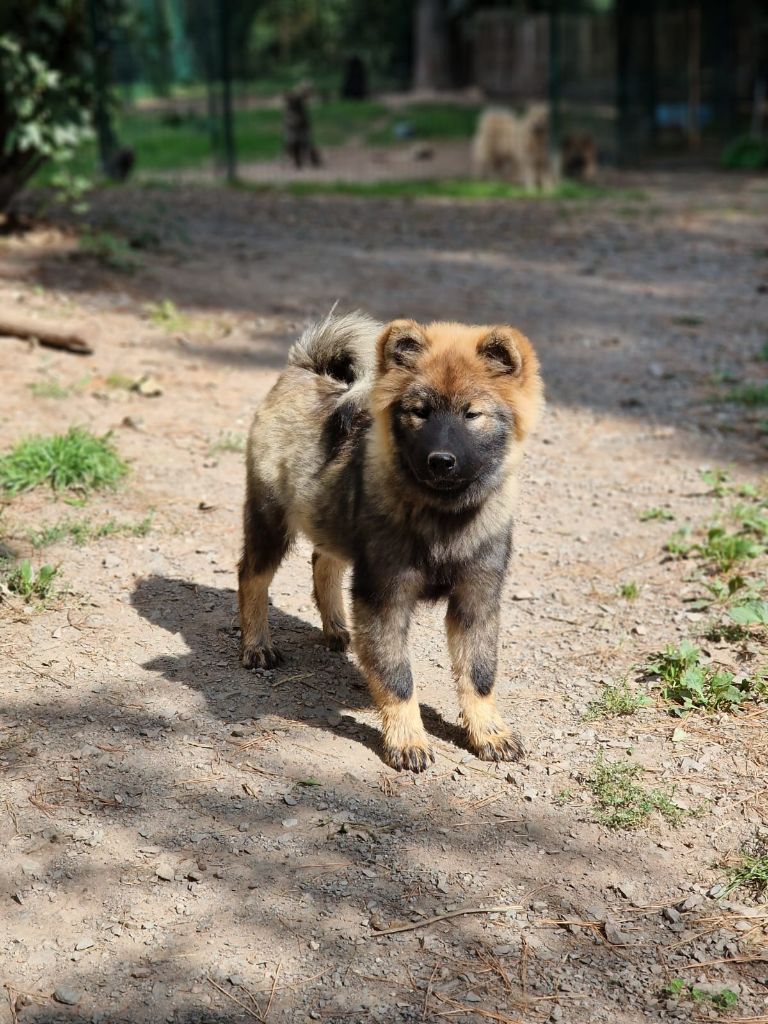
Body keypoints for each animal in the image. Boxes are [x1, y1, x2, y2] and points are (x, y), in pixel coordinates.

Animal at [237, 307, 544, 770]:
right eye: (420, 411)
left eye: (472, 414)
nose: (441, 460)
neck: (444, 517)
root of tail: (307, 367)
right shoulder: (384, 596)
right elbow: (398, 678)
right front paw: (407, 740)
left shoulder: (477, 596)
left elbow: (479, 673)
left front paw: (489, 731)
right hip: (270, 517)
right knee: (252, 575)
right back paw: (257, 646)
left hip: (329, 516)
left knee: (323, 561)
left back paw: (336, 628)